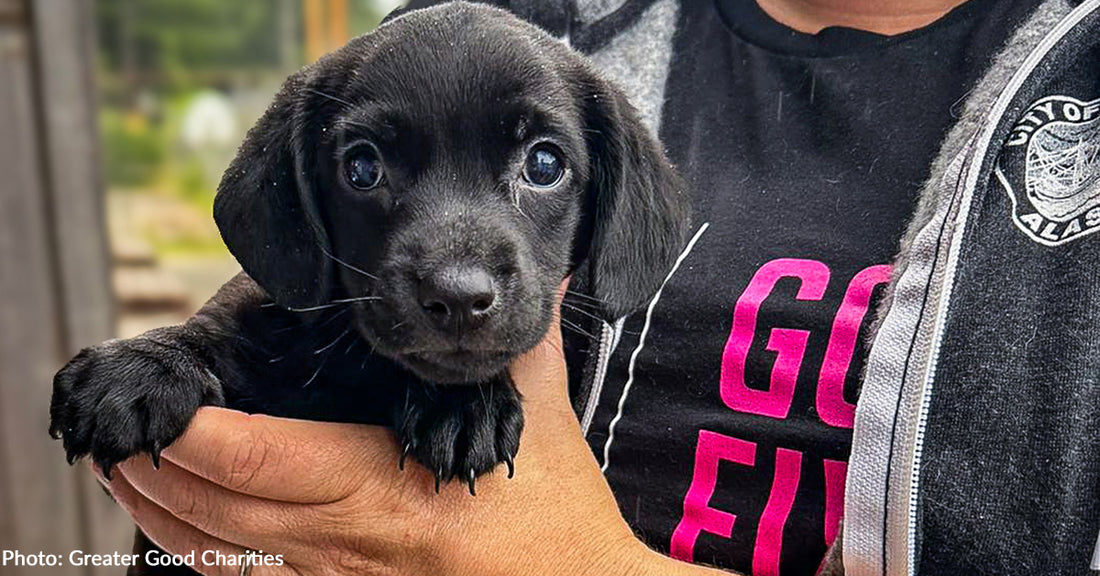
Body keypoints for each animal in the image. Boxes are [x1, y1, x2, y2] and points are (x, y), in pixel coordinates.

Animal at [53, 0, 686, 540]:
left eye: (545, 165)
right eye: (362, 168)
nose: (457, 297)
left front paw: (464, 406)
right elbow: (216, 323)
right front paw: (141, 365)